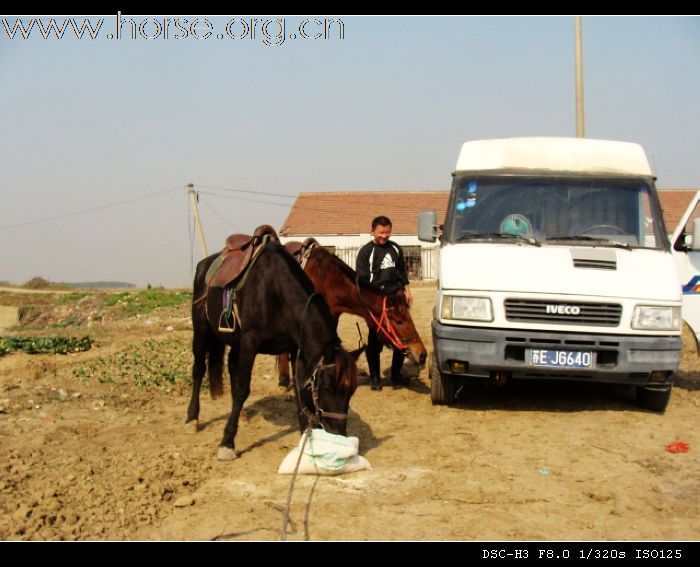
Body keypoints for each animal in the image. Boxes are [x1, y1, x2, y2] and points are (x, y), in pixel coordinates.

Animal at [187, 240, 360, 462]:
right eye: (328, 387)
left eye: (352, 390)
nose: (339, 433)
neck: (276, 293)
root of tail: (204, 265)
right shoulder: (250, 343)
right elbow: (242, 389)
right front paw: (227, 443)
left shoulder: (296, 347)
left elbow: (298, 388)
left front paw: (304, 435)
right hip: (201, 329)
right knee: (199, 369)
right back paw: (192, 418)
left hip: (235, 341)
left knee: (232, 366)